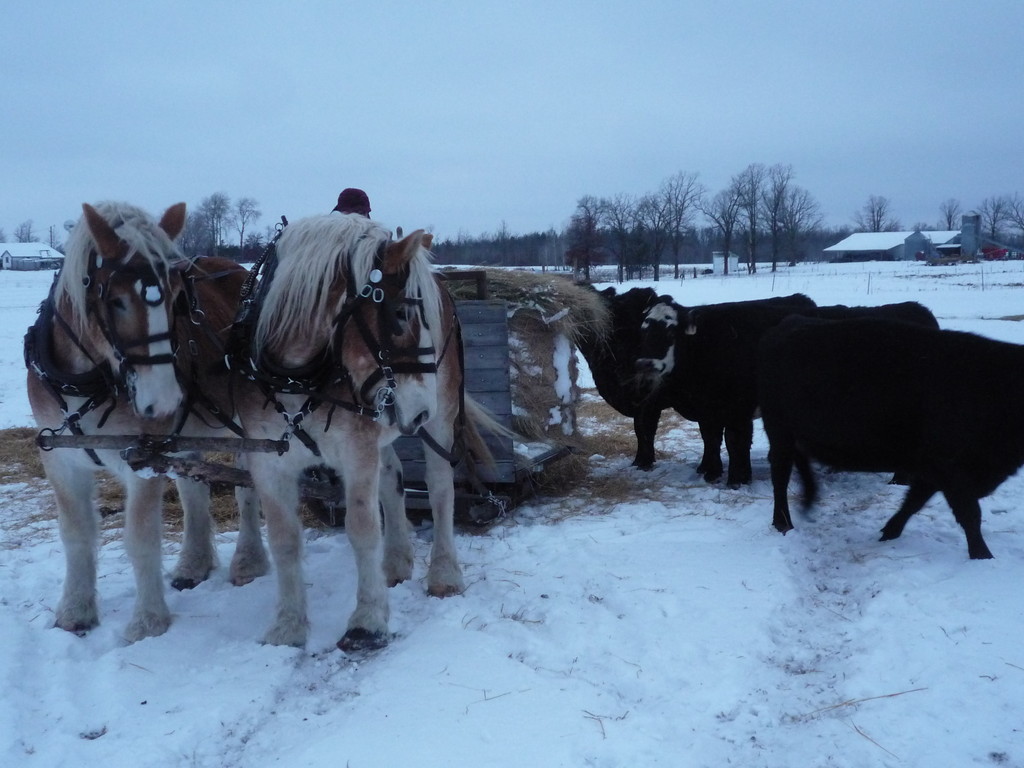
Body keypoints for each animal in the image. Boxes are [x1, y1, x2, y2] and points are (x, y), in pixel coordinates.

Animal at [25, 200, 269, 642]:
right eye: (115, 300)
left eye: (176, 298)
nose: (164, 399)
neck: (88, 380)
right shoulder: (60, 461)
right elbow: (76, 534)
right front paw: (75, 611)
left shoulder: (142, 458)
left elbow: (139, 539)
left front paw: (148, 621)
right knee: (193, 489)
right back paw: (193, 564)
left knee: (247, 485)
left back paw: (248, 561)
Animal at [234, 212, 488, 651]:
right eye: (401, 314)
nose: (420, 410)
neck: (298, 378)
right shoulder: (268, 460)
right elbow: (284, 538)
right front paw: (287, 626)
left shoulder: (357, 452)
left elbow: (362, 528)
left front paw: (367, 620)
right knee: (393, 480)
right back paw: (396, 562)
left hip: (440, 417)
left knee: (440, 488)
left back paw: (444, 573)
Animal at [634, 294, 816, 486]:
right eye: (643, 332)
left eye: (670, 333)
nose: (643, 364)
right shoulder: (708, 410)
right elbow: (711, 439)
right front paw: (712, 472)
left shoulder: (737, 409)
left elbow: (734, 441)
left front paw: (735, 479)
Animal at [758, 315, 1024, 559]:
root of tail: (784, 327)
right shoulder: (950, 468)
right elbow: (969, 514)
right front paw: (983, 556)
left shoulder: (933, 469)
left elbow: (914, 501)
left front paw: (889, 531)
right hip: (779, 432)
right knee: (780, 474)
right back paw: (783, 523)